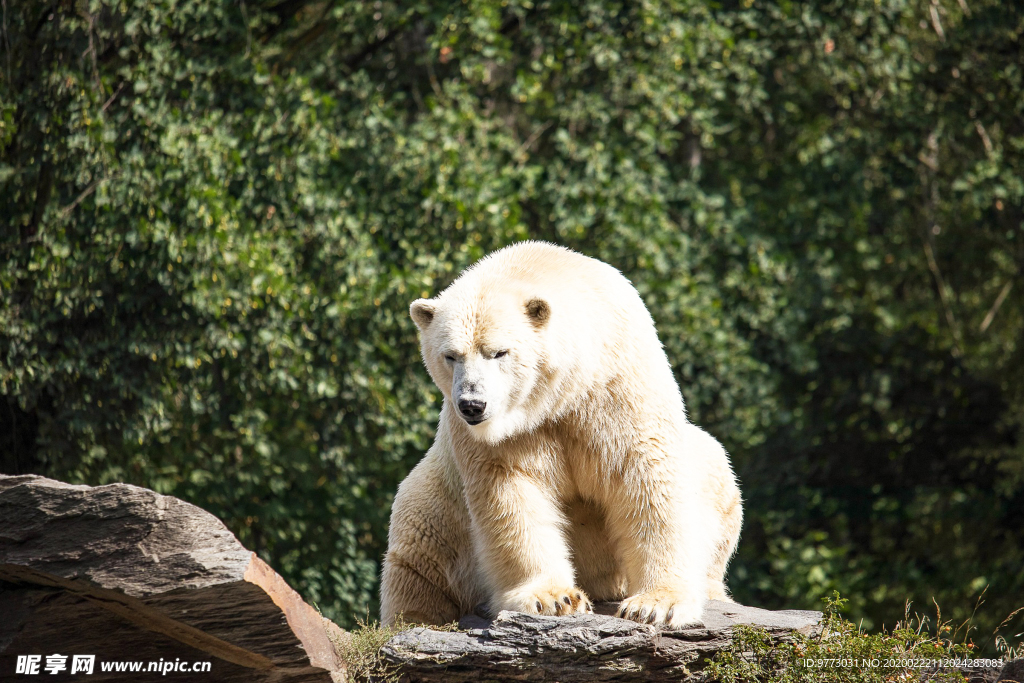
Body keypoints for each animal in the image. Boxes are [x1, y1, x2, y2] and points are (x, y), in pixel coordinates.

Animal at [380, 241, 741, 630]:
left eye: (499, 352)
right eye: (450, 355)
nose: (472, 405)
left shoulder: (616, 389)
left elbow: (646, 475)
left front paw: (657, 604)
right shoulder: (503, 436)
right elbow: (512, 495)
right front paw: (554, 598)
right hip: (437, 503)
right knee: (418, 556)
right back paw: (418, 618)